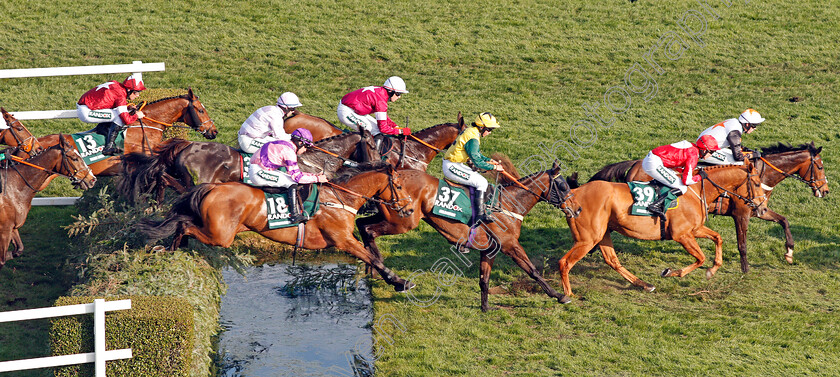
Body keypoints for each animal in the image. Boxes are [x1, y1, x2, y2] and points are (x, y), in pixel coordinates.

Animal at [1, 135, 97, 268]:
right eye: (74, 158)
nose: (92, 179)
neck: (15, 184)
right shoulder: (4, 230)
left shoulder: (13, 227)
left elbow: (18, 250)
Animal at [138, 164, 420, 290]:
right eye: (399, 185)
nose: (408, 209)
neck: (341, 198)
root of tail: (213, 187)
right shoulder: (343, 240)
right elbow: (373, 258)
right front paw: (399, 281)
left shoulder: (346, 239)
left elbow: (371, 255)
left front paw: (394, 279)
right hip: (221, 236)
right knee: (184, 224)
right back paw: (170, 248)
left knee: (183, 223)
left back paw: (173, 247)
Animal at [356, 156, 584, 312]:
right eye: (563, 186)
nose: (578, 209)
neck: (509, 204)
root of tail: (391, 177)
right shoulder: (510, 245)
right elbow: (533, 271)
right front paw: (559, 295)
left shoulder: (490, 250)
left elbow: (484, 280)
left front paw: (485, 308)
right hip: (403, 221)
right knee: (368, 230)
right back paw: (389, 274)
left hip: (390, 217)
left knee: (361, 224)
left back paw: (377, 269)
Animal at [556, 164, 768, 300]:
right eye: (757, 183)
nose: (763, 208)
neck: (697, 190)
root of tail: (573, 195)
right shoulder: (681, 234)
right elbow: (700, 258)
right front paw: (671, 272)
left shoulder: (695, 229)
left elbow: (718, 238)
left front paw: (712, 270)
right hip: (587, 239)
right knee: (564, 262)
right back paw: (568, 294)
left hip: (602, 234)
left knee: (612, 260)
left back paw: (644, 285)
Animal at [584, 142, 828, 272]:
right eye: (820, 166)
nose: (825, 191)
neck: (761, 173)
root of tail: (635, 163)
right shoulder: (742, 213)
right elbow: (742, 243)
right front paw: (745, 269)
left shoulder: (759, 209)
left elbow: (784, 220)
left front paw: (789, 253)